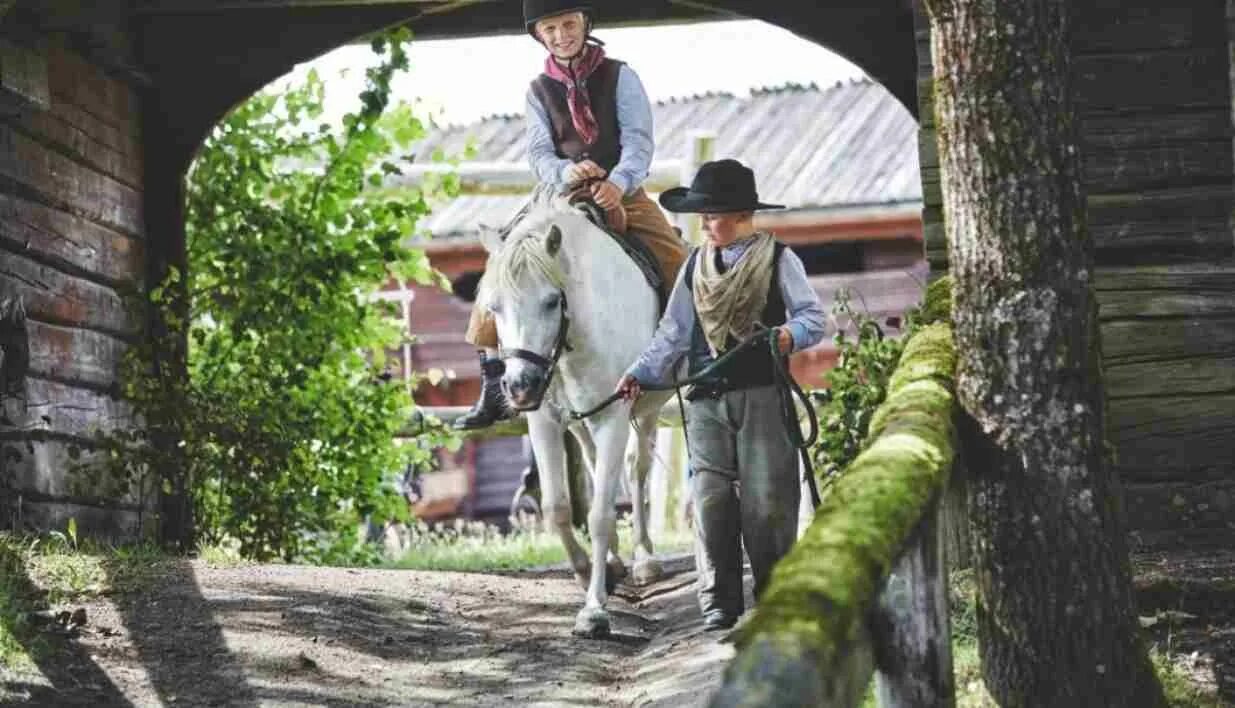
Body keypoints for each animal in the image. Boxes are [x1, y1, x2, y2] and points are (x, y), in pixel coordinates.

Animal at [479, 190, 676, 637]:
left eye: (552, 301)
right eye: (494, 307)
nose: (521, 386)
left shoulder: (615, 414)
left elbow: (601, 514)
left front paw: (594, 610)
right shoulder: (545, 422)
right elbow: (557, 507)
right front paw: (588, 571)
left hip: (646, 412)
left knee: (637, 469)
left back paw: (644, 559)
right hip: (582, 422)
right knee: (594, 463)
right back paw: (617, 560)